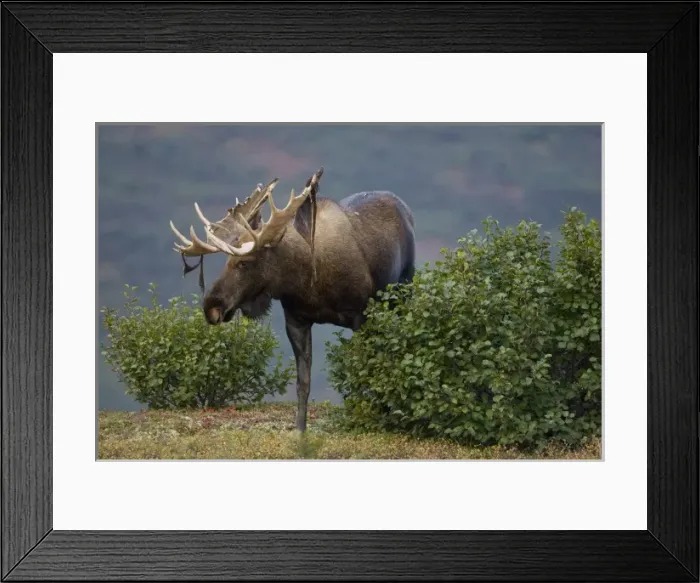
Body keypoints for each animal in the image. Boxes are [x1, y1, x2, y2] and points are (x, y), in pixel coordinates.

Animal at [169, 167, 416, 432]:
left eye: (244, 262)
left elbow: (361, 372)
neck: (307, 279)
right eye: (227, 261)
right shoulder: (296, 320)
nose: (211, 307)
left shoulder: (359, 316)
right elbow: (302, 383)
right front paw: (300, 428)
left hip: (404, 289)